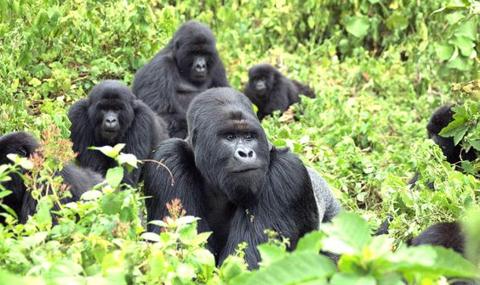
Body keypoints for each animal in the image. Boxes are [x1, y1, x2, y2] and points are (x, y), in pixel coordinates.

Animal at [144, 87, 340, 268]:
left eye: (249, 137)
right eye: (229, 137)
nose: (246, 153)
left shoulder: (287, 174)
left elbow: (247, 265)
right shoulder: (167, 159)